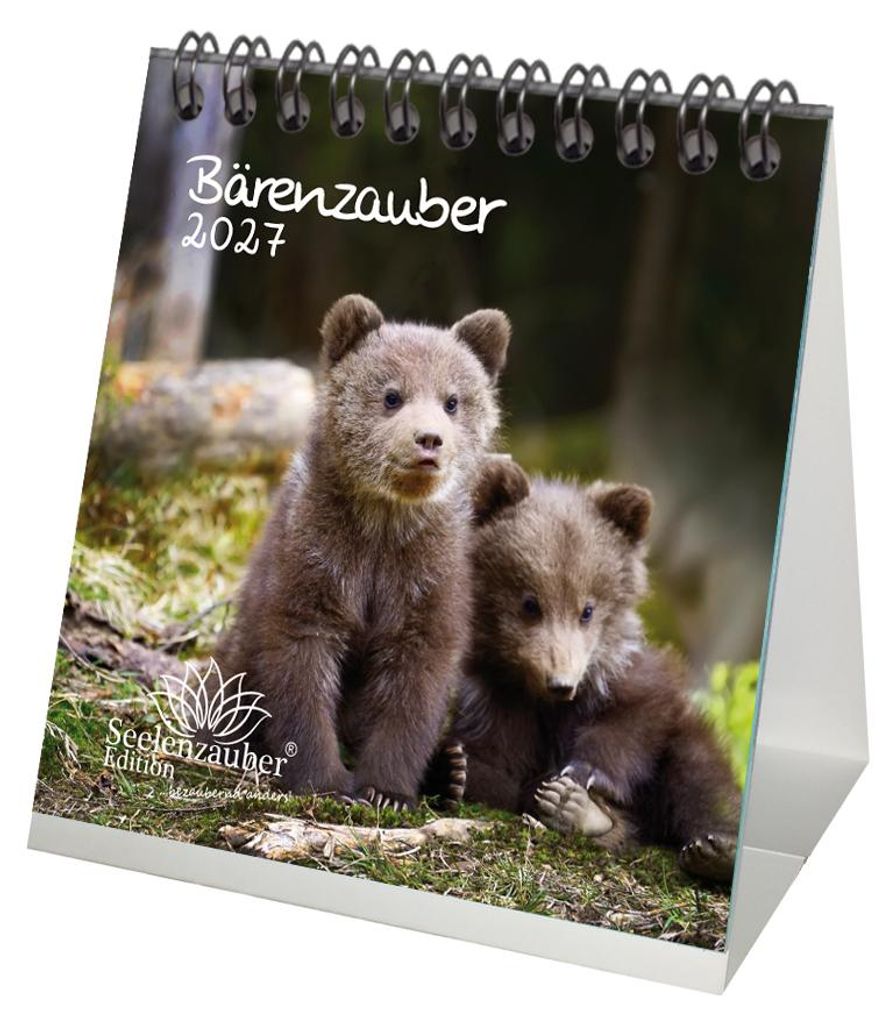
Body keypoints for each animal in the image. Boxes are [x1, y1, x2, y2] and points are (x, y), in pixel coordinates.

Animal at [214, 294, 511, 809]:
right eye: (392, 396)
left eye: (452, 400)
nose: (428, 439)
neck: (383, 522)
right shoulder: (316, 554)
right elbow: (300, 659)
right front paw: (323, 778)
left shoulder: (427, 574)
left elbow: (415, 676)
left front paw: (386, 788)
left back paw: (452, 769)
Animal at [436, 458, 741, 883]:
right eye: (530, 603)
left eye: (588, 609)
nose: (561, 683)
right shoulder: (493, 696)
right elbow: (498, 759)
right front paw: (458, 769)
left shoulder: (623, 673)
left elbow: (635, 717)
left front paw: (582, 776)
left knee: (699, 774)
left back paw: (708, 849)